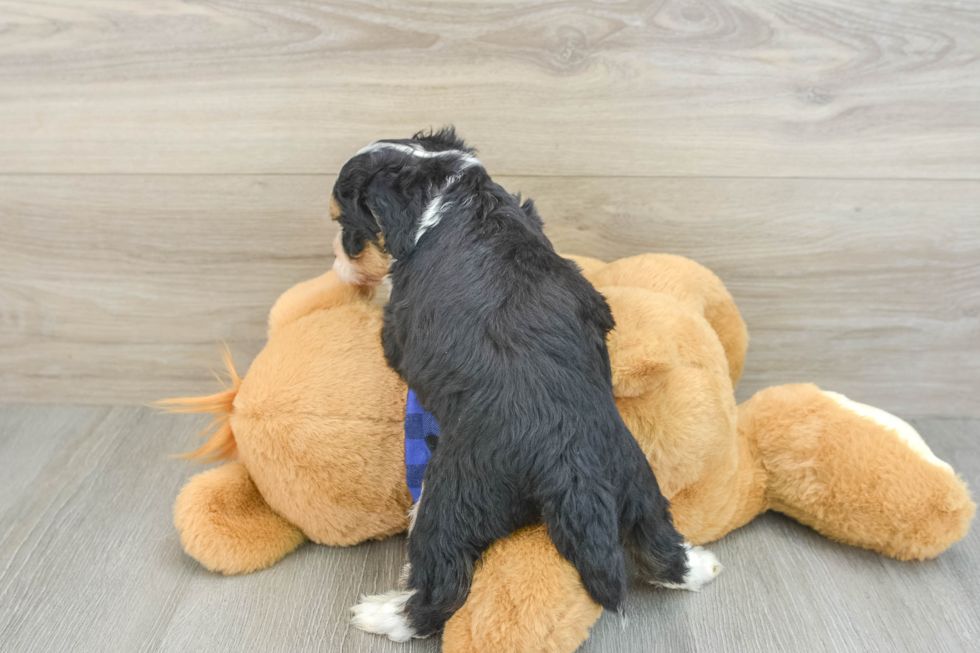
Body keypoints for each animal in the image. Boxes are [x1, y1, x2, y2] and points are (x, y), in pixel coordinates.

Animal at [332, 130, 720, 640]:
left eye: (345, 222)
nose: (339, 260)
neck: (444, 186)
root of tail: (569, 460)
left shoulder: (399, 328)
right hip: (635, 478)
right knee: (657, 542)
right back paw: (700, 565)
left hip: (452, 497)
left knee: (442, 586)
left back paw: (383, 615)